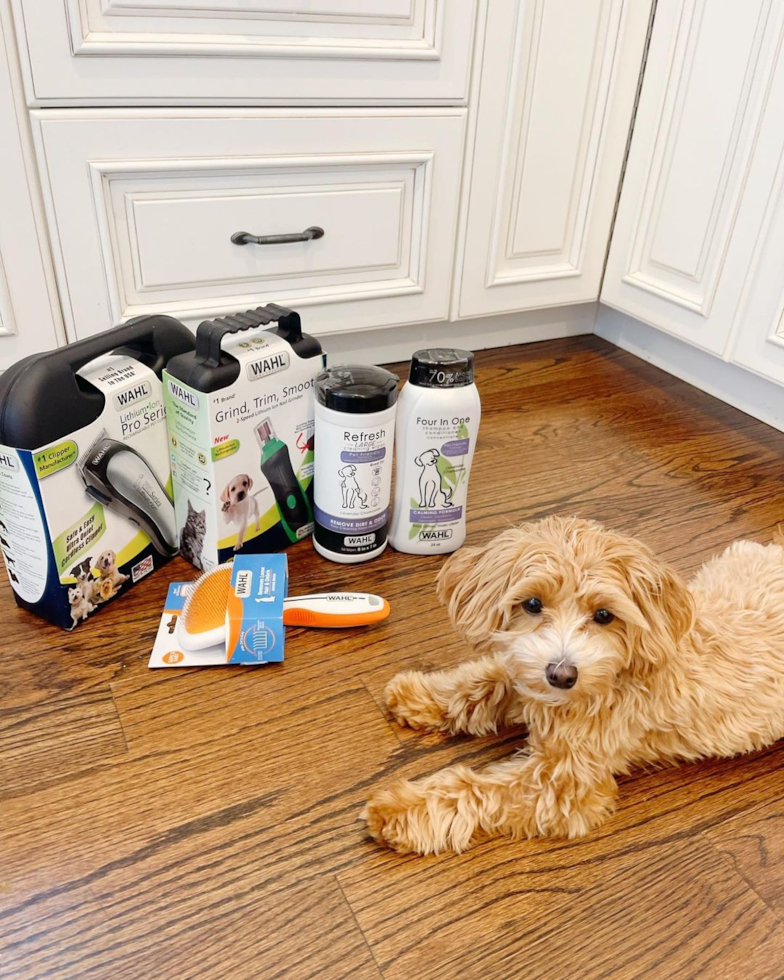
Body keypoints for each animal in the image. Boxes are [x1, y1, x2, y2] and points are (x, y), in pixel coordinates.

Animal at [364, 516, 784, 852]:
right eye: (532, 604)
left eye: (604, 615)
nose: (562, 674)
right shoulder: (525, 674)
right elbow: (482, 680)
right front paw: (416, 694)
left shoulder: (563, 786)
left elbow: (473, 789)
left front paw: (401, 809)